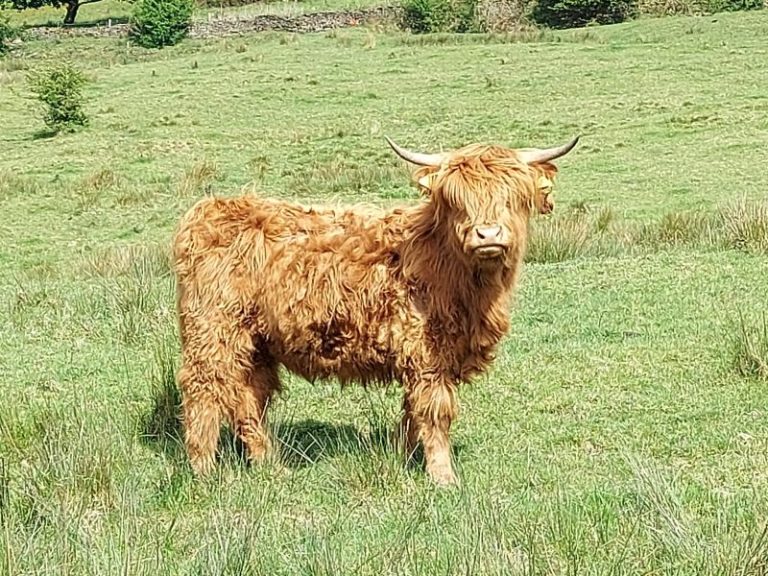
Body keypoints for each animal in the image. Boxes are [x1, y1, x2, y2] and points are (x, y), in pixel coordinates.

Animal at [172, 134, 579, 486]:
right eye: (456, 201)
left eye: (513, 197)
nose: (488, 234)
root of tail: (208, 210)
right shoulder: (427, 355)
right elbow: (435, 412)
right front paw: (443, 476)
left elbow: (412, 413)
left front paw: (403, 458)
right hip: (213, 330)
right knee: (203, 389)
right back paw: (204, 471)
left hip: (256, 342)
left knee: (249, 397)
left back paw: (271, 466)